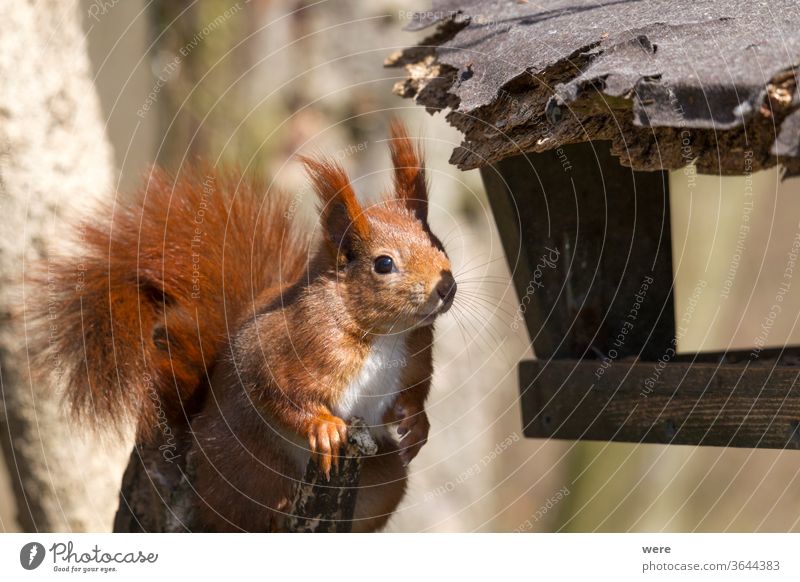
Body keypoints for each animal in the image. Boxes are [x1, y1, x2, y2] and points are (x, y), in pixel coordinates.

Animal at [34, 122, 456, 532]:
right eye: (383, 264)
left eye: (439, 243)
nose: (446, 286)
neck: (385, 334)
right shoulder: (293, 344)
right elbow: (275, 388)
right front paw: (323, 426)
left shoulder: (414, 359)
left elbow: (414, 394)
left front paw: (416, 424)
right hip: (251, 466)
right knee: (244, 514)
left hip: (382, 474)